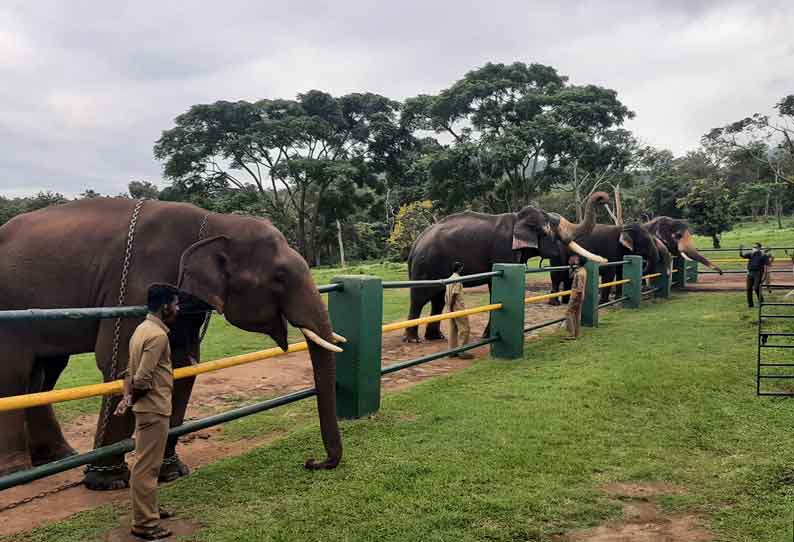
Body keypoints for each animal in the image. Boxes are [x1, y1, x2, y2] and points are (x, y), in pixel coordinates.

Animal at [0, 200, 342, 492]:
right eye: (279, 277)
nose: (313, 462)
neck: (213, 222)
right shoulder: (135, 287)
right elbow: (122, 360)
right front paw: (107, 482)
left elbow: (183, 366)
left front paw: (173, 472)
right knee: (15, 372)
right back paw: (18, 472)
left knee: (44, 372)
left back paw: (58, 456)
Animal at [402, 193, 608, 342]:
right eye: (554, 229)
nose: (603, 199)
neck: (518, 218)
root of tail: (416, 242)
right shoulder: (503, 249)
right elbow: (496, 286)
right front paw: (488, 336)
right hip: (425, 264)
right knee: (420, 298)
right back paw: (413, 340)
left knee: (437, 299)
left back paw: (436, 337)